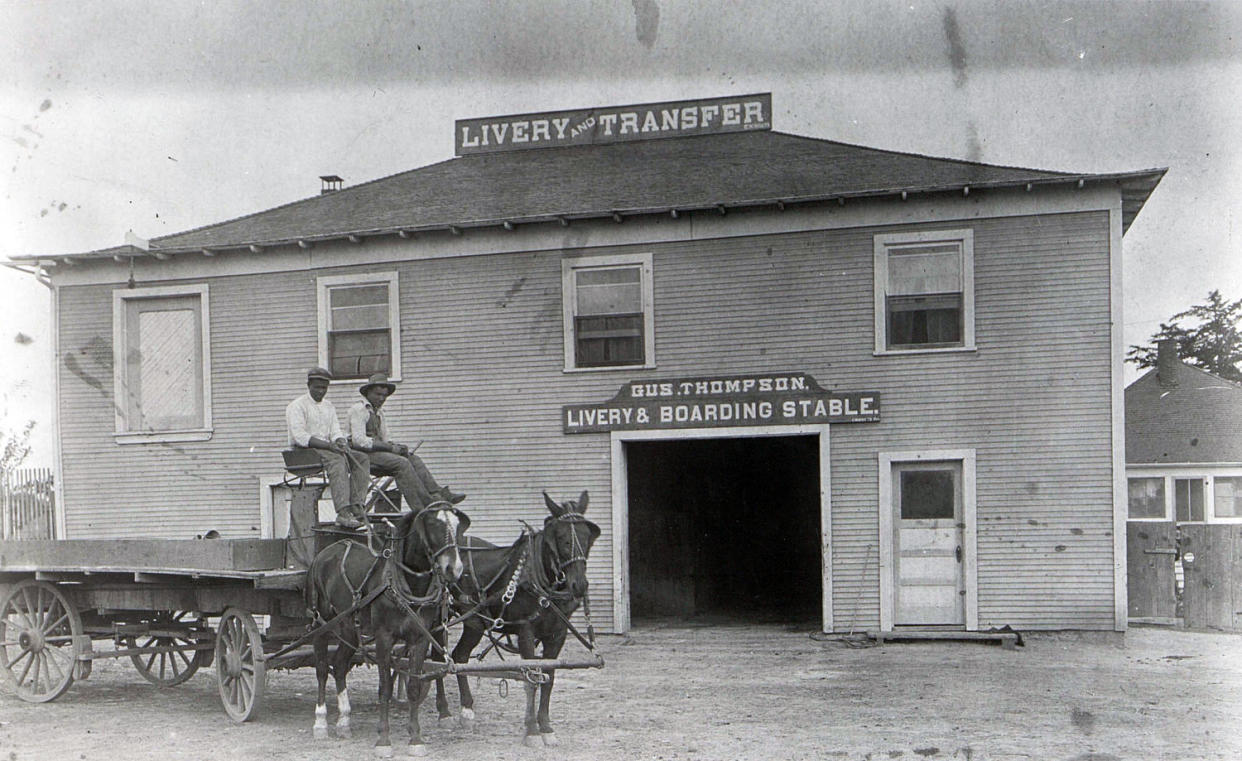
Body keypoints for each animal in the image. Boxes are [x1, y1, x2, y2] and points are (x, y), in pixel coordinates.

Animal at [305, 501, 469, 754]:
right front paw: (383, 739)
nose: (454, 568)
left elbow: (413, 686)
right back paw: (321, 722)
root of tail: (325, 553)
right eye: (433, 524)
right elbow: (384, 688)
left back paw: (344, 721)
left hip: (349, 628)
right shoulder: (384, 637)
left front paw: (416, 738)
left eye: (458, 525)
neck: (404, 583)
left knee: (339, 665)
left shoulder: (420, 638)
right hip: (322, 623)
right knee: (322, 668)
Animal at [434, 489, 598, 744]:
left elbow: (549, 676)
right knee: (434, 657)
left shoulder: (557, 634)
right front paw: (531, 730)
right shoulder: (525, 631)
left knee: (458, 656)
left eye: (587, 537)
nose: (579, 585)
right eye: (561, 538)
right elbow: (531, 676)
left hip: (474, 623)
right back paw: (443, 711)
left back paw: (466, 710)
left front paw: (546, 727)